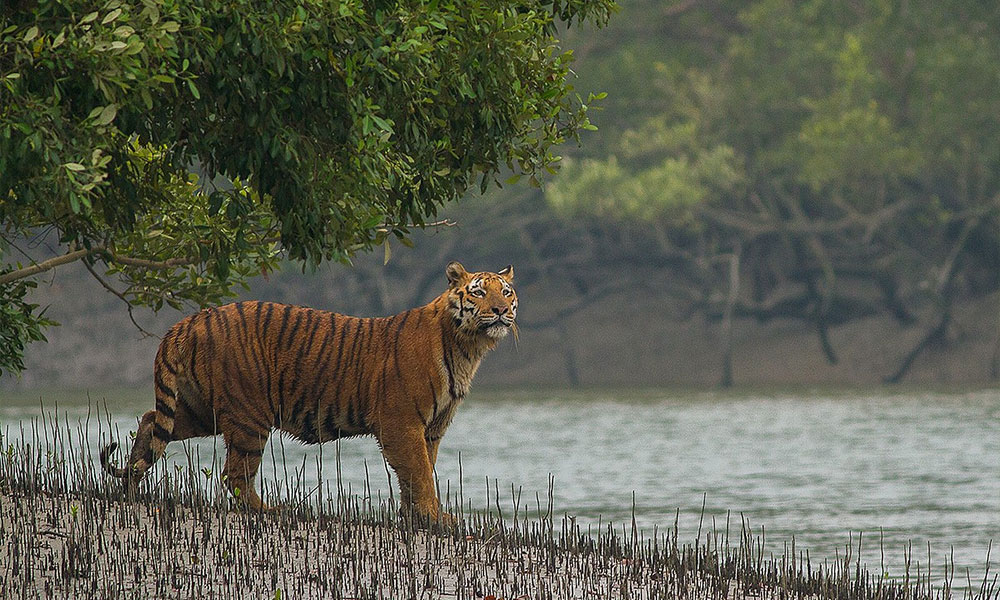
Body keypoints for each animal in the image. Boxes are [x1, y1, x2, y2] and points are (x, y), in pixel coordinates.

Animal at [101, 260, 520, 524]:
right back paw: (269, 511)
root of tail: (190, 320)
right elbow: (419, 472)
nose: (501, 311)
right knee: (234, 474)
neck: (467, 346)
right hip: (249, 414)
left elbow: (418, 473)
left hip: (202, 409)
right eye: (478, 293)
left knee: (151, 421)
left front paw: (416, 517)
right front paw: (436, 518)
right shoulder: (402, 423)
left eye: (506, 292)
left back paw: (130, 486)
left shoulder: (431, 428)